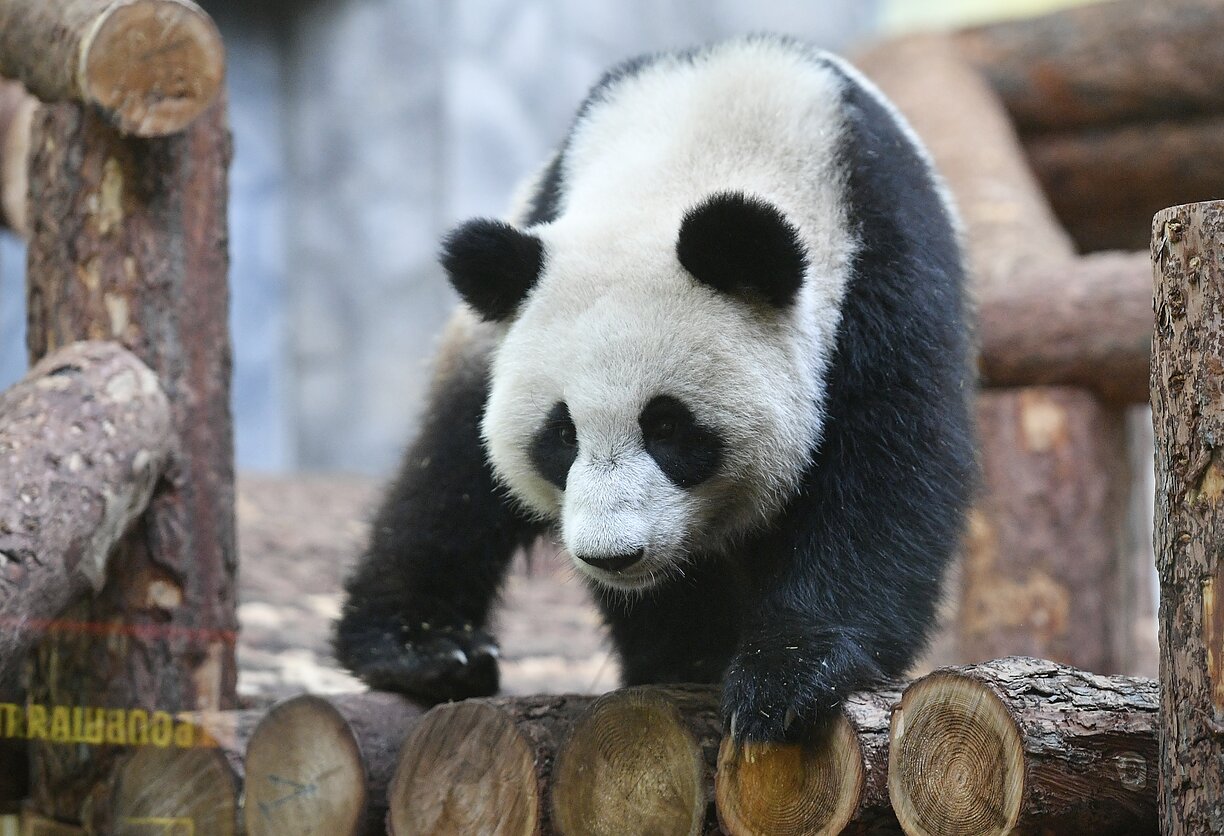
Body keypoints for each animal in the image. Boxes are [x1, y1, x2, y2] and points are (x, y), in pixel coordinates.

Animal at [335, 34, 974, 743]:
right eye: (561, 434)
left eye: (667, 426)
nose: (612, 554)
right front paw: (683, 656)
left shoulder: (882, 268)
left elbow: (883, 472)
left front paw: (788, 678)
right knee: (447, 473)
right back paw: (423, 648)